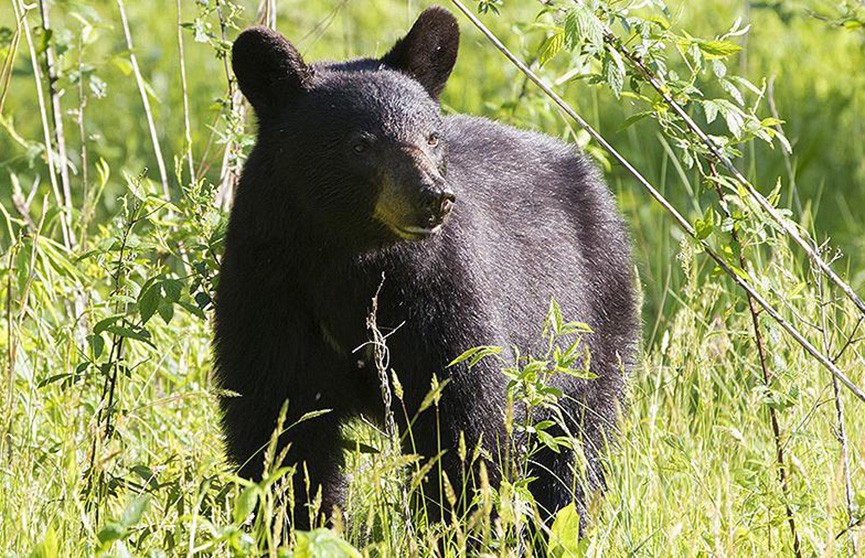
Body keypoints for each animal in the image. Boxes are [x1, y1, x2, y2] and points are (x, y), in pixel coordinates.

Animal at [216, 6, 636, 532]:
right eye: (360, 144)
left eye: (431, 137)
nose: (433, 197)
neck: (351, 257)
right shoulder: (267, 284)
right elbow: (280, 427)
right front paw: (294, 525)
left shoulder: (440, 294)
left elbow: (464, 422)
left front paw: (463, 528)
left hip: (590, 323)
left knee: (574, 444)